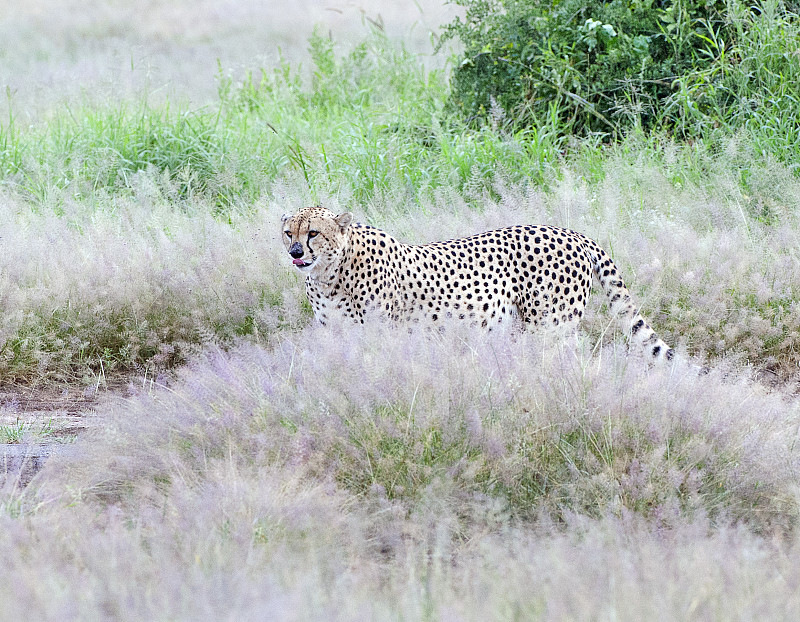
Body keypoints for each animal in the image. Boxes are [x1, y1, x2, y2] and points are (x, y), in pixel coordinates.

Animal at [282, 207, 676, 364]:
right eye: (289, 232)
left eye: (313, 232)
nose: (295, 252)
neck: (330, 273)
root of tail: (572, 232)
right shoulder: (336, 333)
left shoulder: (381, 334)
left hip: (550, 327)